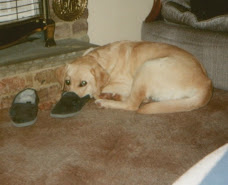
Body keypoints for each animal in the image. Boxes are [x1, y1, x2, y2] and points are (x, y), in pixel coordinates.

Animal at [56, 41, 213, 113]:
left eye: (83, 83)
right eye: (67, 81)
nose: (67, 99)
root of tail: (207, 83)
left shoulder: (126, 84)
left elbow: (97, 90)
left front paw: (101, 93)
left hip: (147, 67)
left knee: (132, 105)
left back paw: (106, 101)